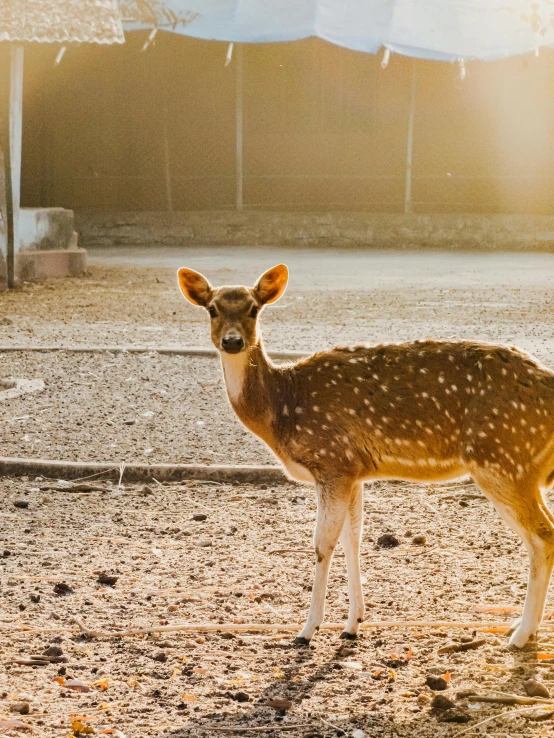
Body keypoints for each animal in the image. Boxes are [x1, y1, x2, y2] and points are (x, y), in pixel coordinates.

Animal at [176, 262, 552, 648]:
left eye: (254, 308)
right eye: (212, 309)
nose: (232, 341)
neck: (282, 409)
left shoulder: (331, 460)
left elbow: (322, 544)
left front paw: (307, 630)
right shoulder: (352, 470)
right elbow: (352, 539)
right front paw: (353, 623)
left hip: (503, 459)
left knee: (542, 536)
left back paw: (521, 633)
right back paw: (520, 626)